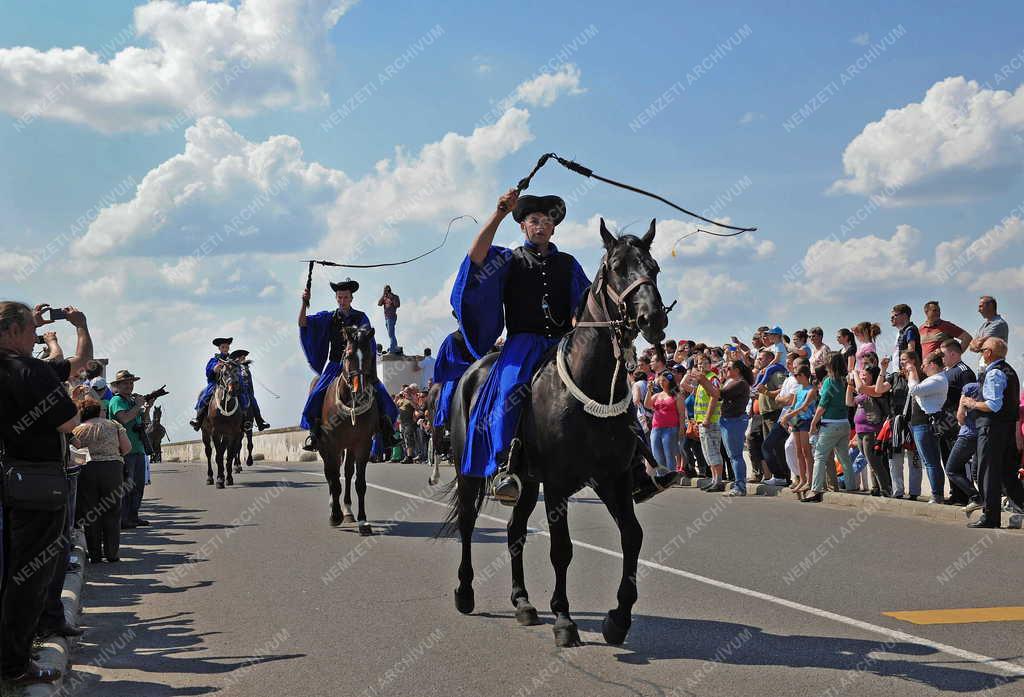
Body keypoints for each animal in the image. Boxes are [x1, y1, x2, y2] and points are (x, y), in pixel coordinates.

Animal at [201, 358, 245, 489]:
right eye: (225, 373)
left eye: (237, 372)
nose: (233, 389)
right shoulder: (216, 432)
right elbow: (219, 455)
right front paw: (220, 479)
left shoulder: (233, 433)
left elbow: (229, 455)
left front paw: (229, 478)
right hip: (205, 433)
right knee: (209, 453)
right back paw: (210, 477)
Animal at [319, 325, 380, 532]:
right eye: (349, 355)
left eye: (369, 355)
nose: (360, 392)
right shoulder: (331, 445)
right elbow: (334, 480)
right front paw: (334, 515)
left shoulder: (363, 444)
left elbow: (359, 482)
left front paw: (363, 520)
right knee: (331, 474)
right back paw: (335, 507)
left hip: (349, 447)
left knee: (346, 472)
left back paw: (347, 510)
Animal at [444, 216, 667, 646]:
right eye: (617, 266)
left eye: (655, 267)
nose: (653, 319)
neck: (589, 387)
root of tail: (472, 370)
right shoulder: (559, 483)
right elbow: (561, 549)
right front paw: (564, 619)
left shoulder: (612, 478)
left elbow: (632, 536)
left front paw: (619, 618)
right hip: (471, 473)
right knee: (466, 524)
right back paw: (464, 592)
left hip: (527, 482)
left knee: (514, 531)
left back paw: (523, 602)